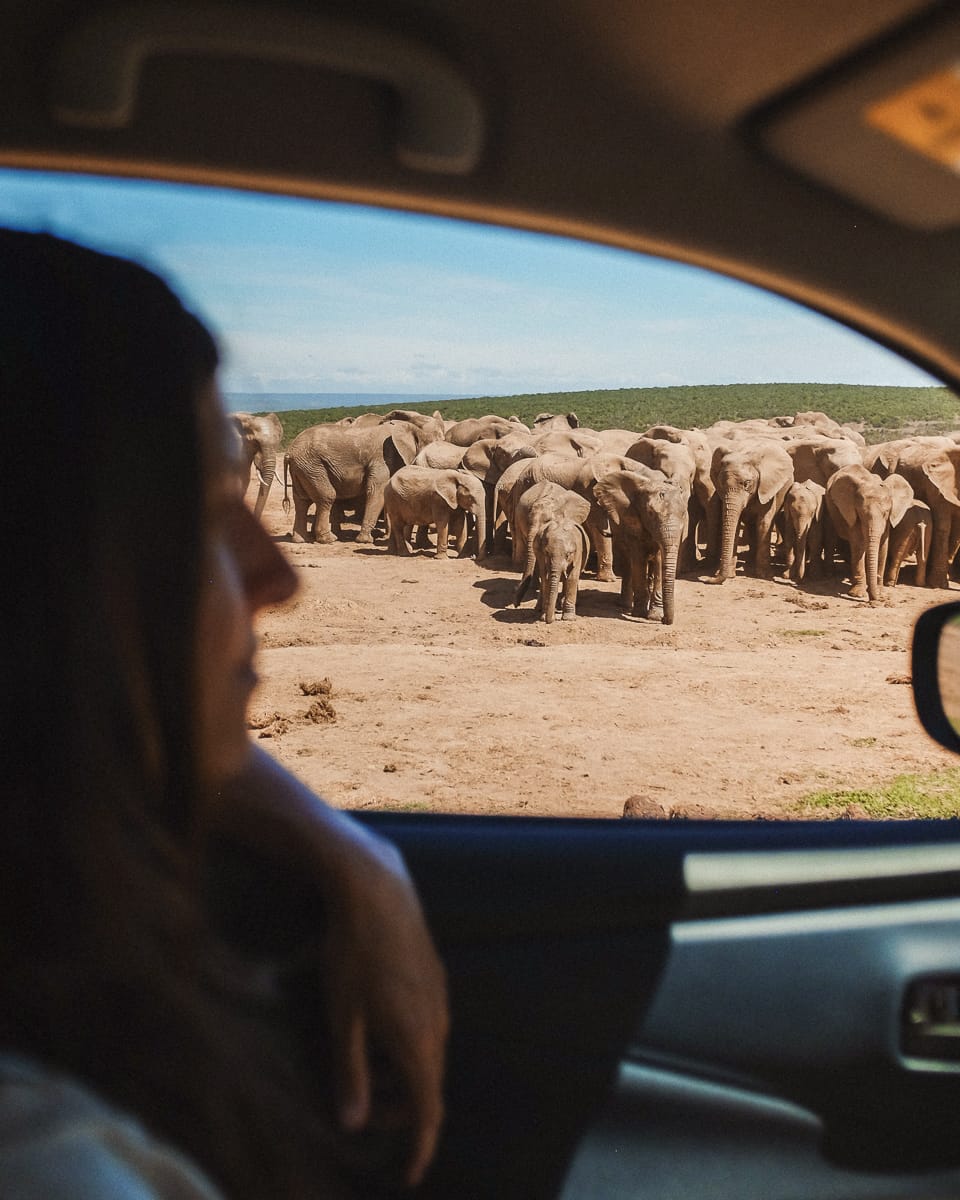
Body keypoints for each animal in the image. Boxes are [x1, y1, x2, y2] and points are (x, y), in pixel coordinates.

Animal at [282, 419, 441, 544]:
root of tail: (288, 453)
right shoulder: (381, 459)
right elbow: (376, 492)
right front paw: (365, 540)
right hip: (312, 466)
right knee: (327, 496)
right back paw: (328, 539)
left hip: (303, 469)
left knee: (302, 501)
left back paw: (301, 540)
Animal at [593, 467, 687, 624]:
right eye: (650, 513)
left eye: (684, 514)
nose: (664, 620)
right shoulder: (631, 517)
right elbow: (638, 558)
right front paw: (639, 614)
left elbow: (660, 560)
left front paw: (654, 616)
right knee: (627, 561)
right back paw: (626, 606)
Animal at [711, 440, 794, 581]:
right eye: (721, 483)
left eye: (747, 483)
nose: (711, 579)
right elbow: (734, 524)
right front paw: (729, 575)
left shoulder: (767, 487)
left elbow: (764, 524)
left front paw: (764, 575)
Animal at [824, 464, 914, 601]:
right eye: (861, 513)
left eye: (885, 513)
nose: (874, 600)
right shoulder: (853, 513)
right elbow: (858, 545)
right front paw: (858, 594)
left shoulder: (887, 522)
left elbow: (883, 547)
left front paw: (880, 592)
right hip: (830, 509)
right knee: (832, 536)